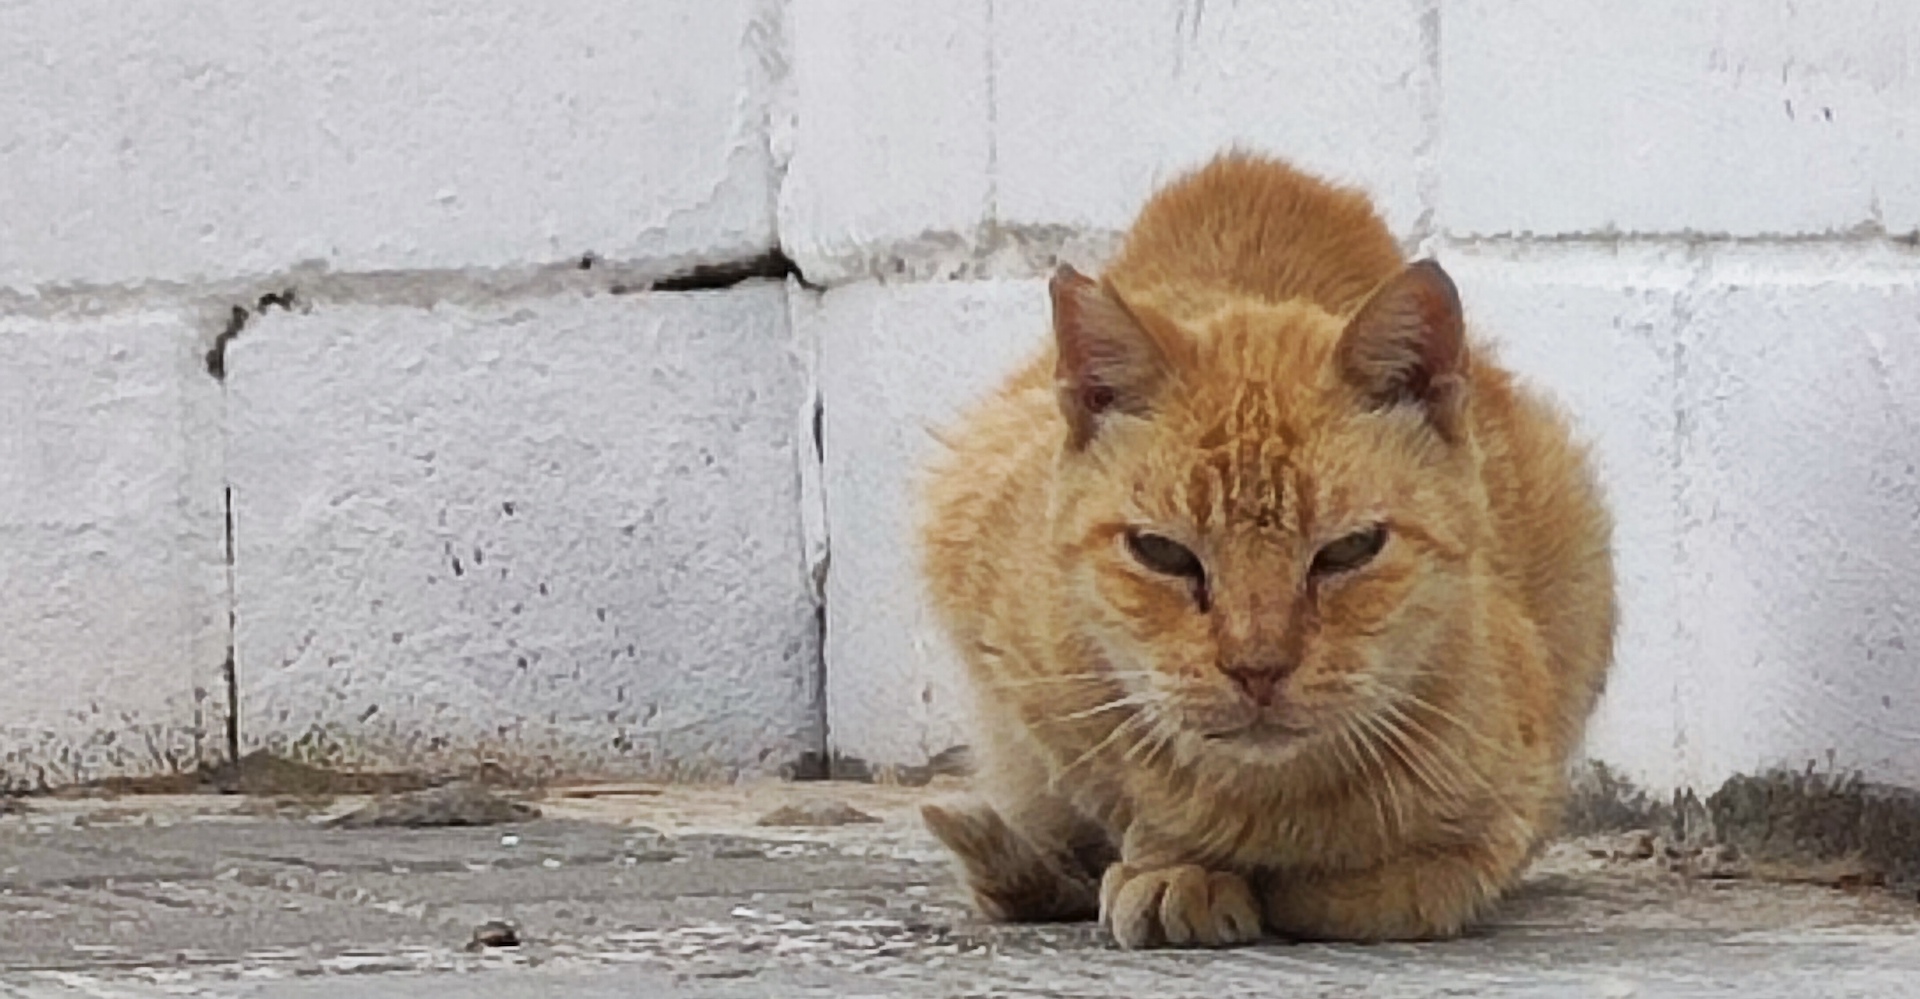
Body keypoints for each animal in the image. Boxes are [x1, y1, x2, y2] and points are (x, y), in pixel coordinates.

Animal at [921, 151, 1612, 949]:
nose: (1258, 667)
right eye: (1163, 553)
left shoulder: (1517, 795)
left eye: (1349, 551)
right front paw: (1177, 862)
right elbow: (1125, 791)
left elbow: (1404, 885)